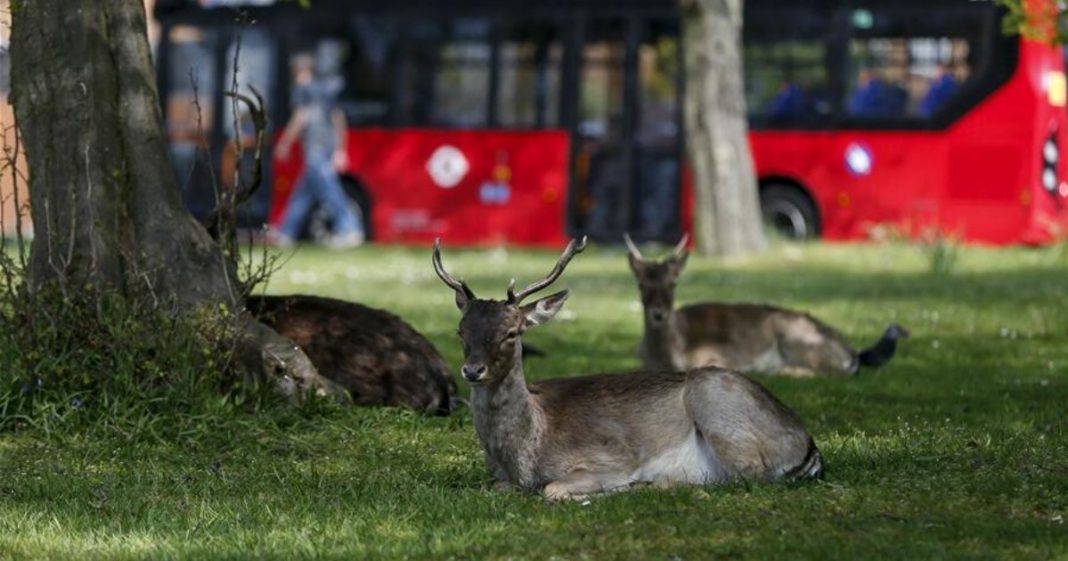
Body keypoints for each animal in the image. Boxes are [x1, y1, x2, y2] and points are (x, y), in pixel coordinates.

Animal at [429, 236, 820, 497]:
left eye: (512, 332)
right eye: (461, 331)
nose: (472, 371)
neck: (525, 458)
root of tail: (808, 443)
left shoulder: (610, 456)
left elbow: (553, 489)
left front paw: (614, 487)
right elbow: (495, 487)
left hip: (718, 406)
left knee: (748, 475)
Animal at [623, 231, 909, 376]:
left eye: (673, 282)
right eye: (641, 283)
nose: (659, 313)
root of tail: (851, 351)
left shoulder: (715, 355)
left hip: (798, 340)